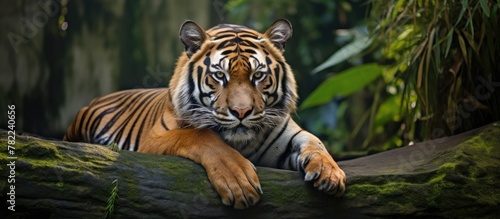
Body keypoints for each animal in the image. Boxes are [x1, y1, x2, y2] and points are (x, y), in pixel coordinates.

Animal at [64, 18, 346, 209]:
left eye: (258, 76)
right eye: (220, 75)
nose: (241, 111)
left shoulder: (286, 134)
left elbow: (315, 141)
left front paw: (331, 173)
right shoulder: (153, 140)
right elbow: (200, 137)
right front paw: (238, 181)